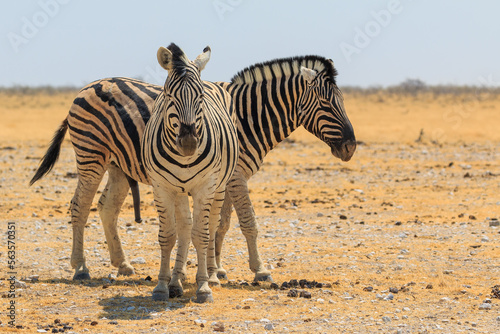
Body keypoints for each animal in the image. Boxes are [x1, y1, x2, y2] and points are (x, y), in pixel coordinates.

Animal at [141, 43, 238, 302]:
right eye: (168, 96)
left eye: (201, 97)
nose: (188, 144)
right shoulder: (162, 188)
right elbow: (168, 236)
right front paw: (162, 286)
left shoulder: (206, 187)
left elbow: (201, 235)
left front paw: (203, 286)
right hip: (180, 191)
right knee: (184, 228)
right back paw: (176, 280)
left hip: (219, 187)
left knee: (211, 226)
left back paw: (212, 276)